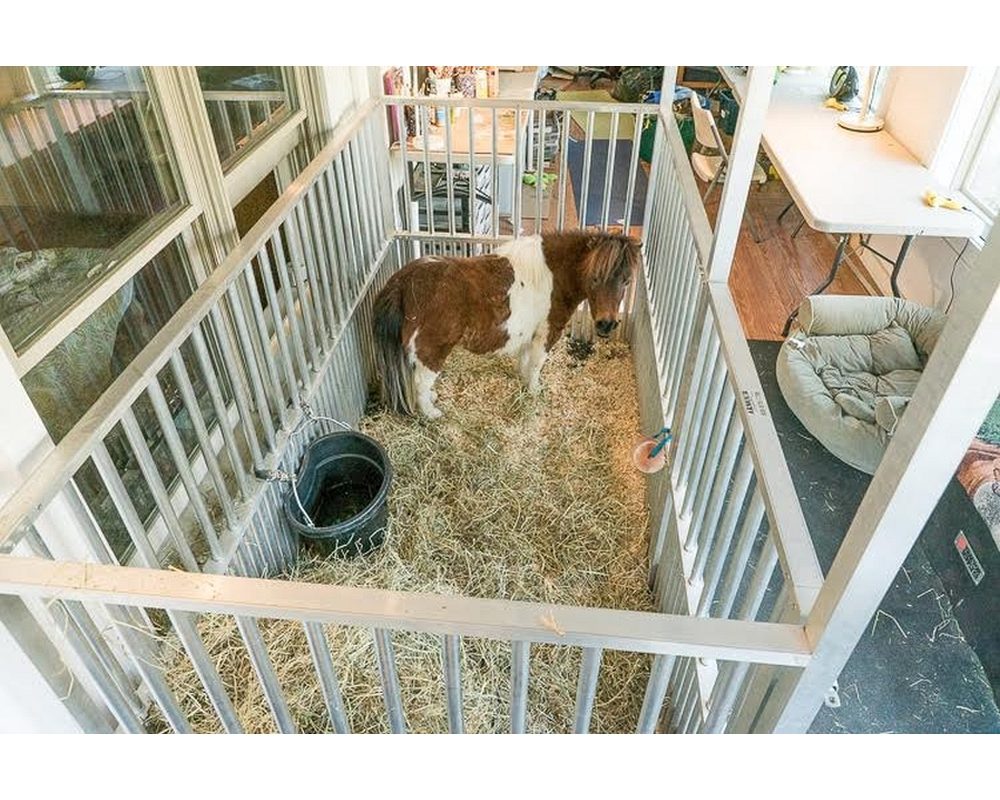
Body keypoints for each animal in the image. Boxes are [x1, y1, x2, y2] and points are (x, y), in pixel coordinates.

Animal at [374, 230, 640, 418]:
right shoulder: (547, 333)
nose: (607, 325)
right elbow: (536, 365)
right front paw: (534, 391)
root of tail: (402, 282)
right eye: (594, 278)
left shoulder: (529, 334)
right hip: (433, 349)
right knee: (421, 380)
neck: (553, 274)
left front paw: (523, 382)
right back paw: (432, 413)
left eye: (627, 281)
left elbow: (525, 362)